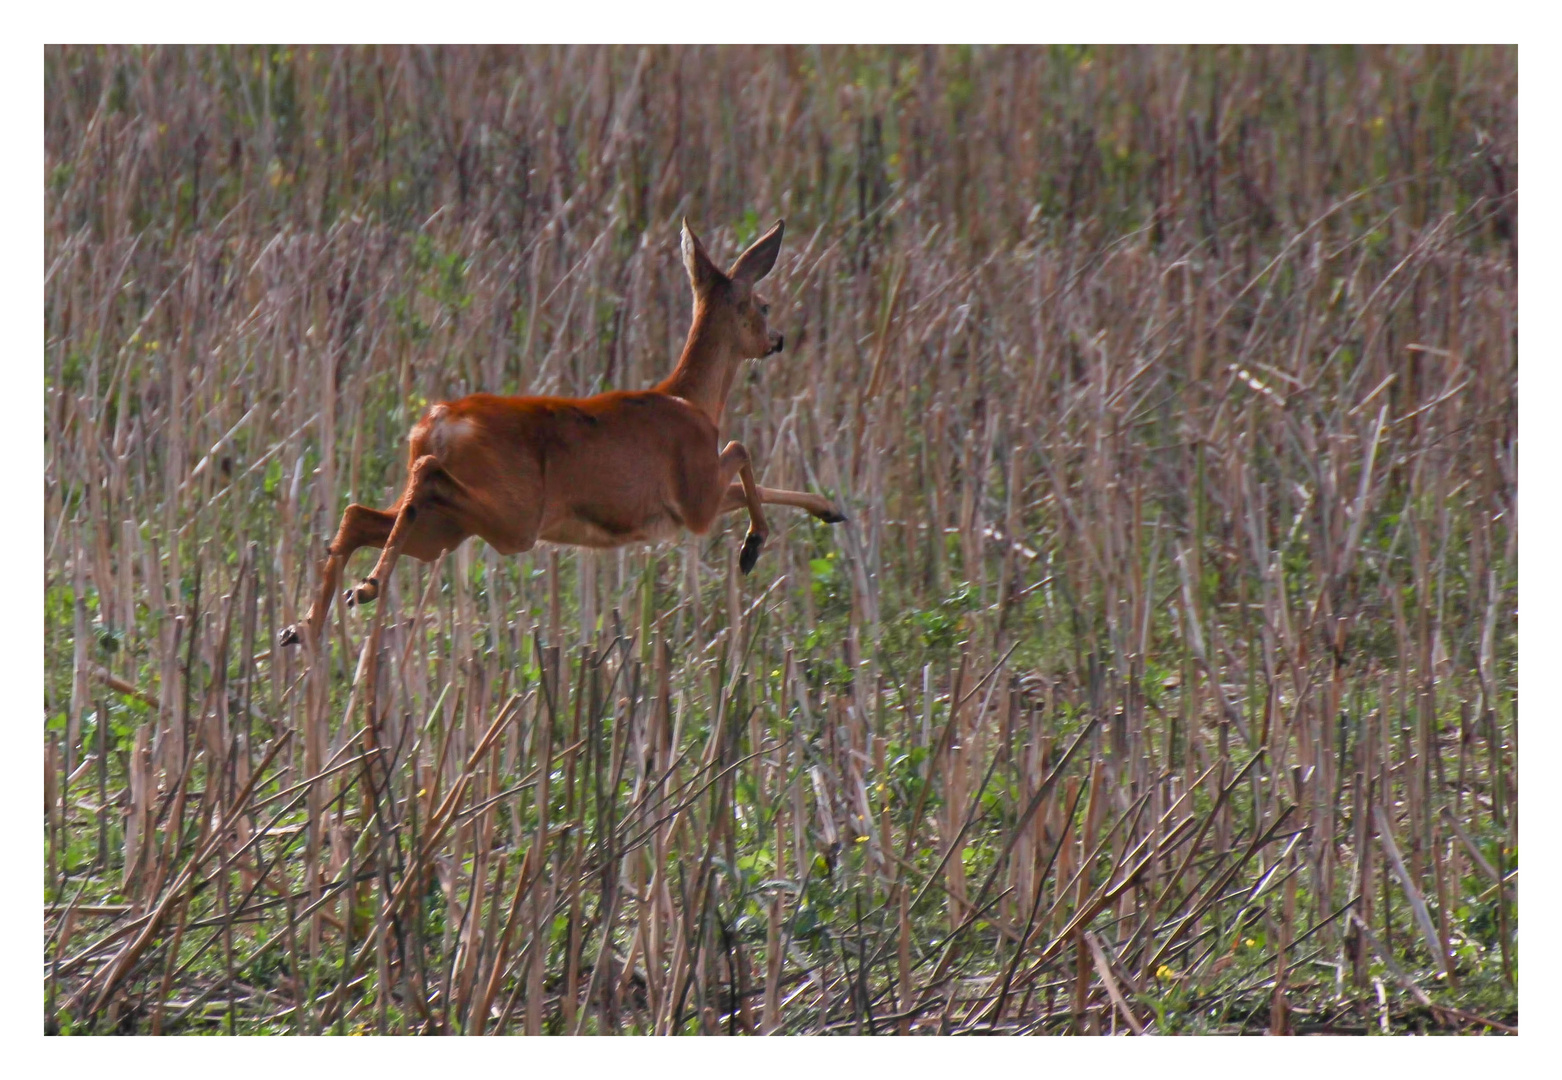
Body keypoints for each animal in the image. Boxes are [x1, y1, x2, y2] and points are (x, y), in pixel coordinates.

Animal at [274, 215, 849, 647]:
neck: (691, 399)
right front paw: (759, 544)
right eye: (763, 304)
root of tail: (435, 424)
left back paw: (306, 626)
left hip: (445, 531)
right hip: (513, 516)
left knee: (361, 514)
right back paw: (364, 589)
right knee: (422, 479)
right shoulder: (694, 499)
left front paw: (826, 511)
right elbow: (742, 448)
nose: (778, 339)